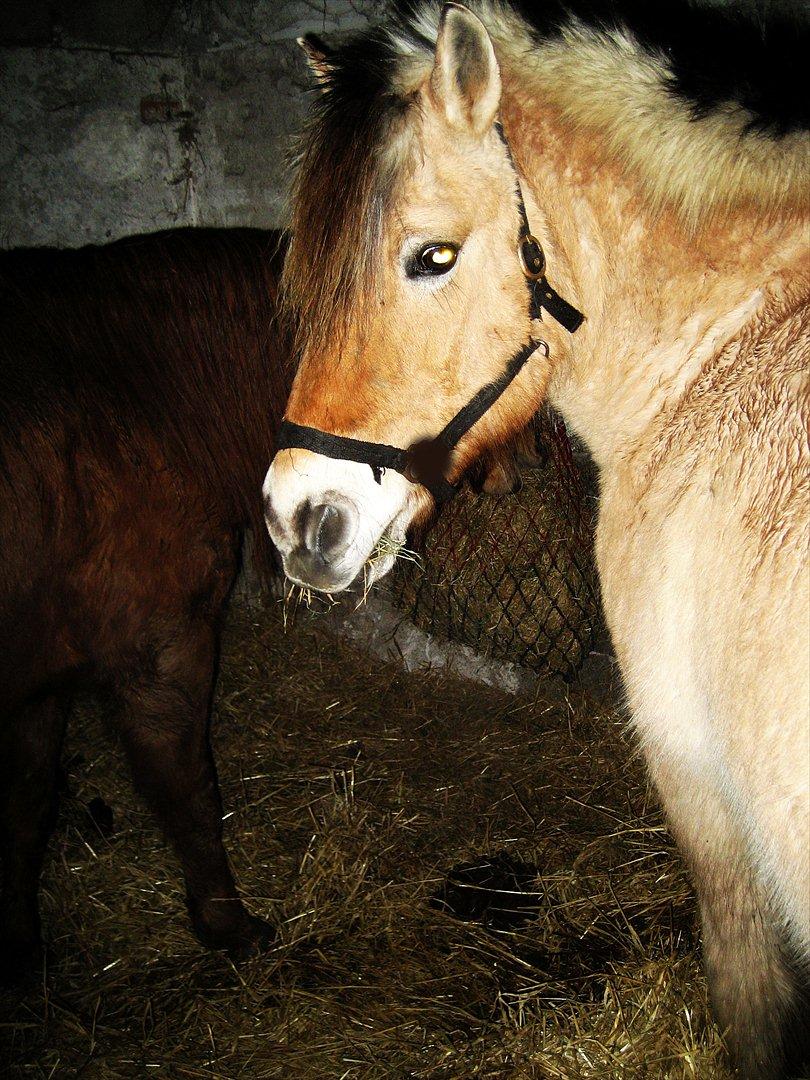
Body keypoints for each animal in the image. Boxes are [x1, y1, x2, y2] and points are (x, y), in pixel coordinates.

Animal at [0, 230, 291, 980]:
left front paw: (20, 948)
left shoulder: (42, 684)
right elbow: (187, 789)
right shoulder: (159, 646)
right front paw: (228, 924)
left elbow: (26, 803)